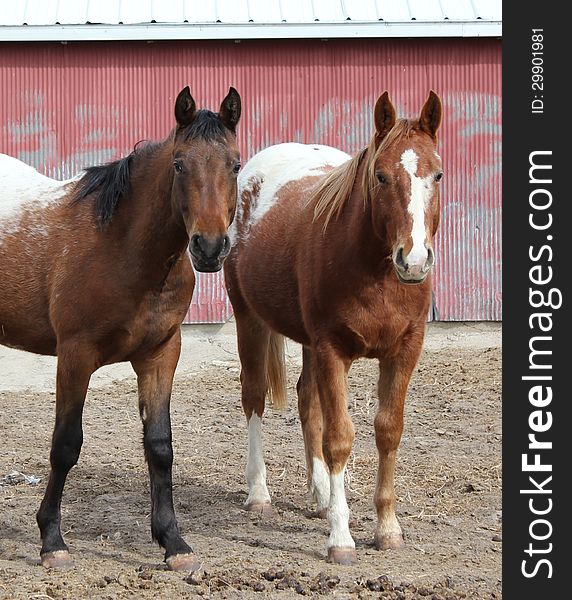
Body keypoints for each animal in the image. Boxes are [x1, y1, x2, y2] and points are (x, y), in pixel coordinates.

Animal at [0, 86, 241, 568]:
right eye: (179, 164)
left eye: (236, 164)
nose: (209, 248)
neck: (121, 246)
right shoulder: (75, 356)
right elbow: (65, 444)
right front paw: (52, 541)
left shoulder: (160, 355)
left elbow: (160, 446)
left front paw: (173, 542)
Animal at [223, 89, 442, 564]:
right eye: (380, 176)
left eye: (437, 174)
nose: (414, 260)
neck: (374, 272)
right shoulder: (331, 350)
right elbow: (339, 437)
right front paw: (341, 538)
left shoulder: (404, 351)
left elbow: (388, 431)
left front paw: (387, 528)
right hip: (250, 318)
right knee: (254, 396)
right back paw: (260, 493)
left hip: (306, 341)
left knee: (307, 401)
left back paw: (320, 494)